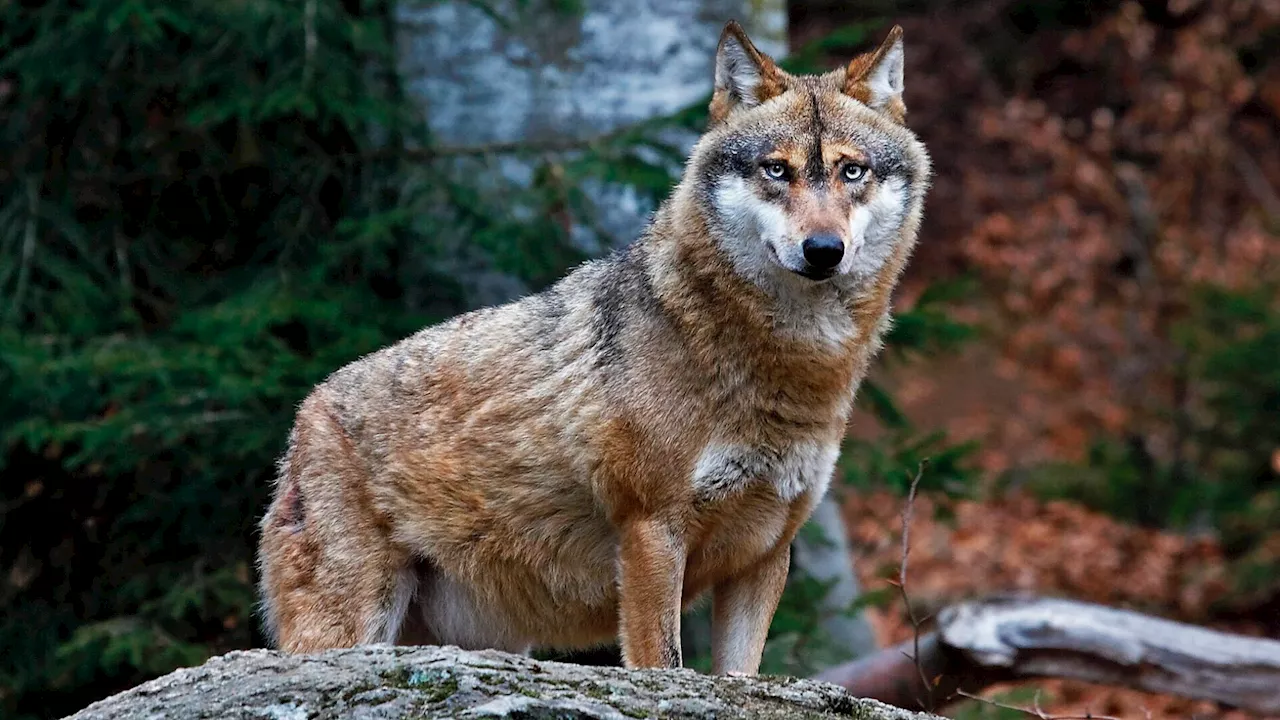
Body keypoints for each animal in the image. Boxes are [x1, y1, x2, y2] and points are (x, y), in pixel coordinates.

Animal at [257, 20, 931, 671]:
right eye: (776, 170)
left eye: (851, 171)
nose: (823, 250)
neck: (791, 367)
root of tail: (305, 412)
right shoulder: (651, 532)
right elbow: (663, 665)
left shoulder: (766, 554)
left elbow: (739, 677)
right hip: (351, 628)